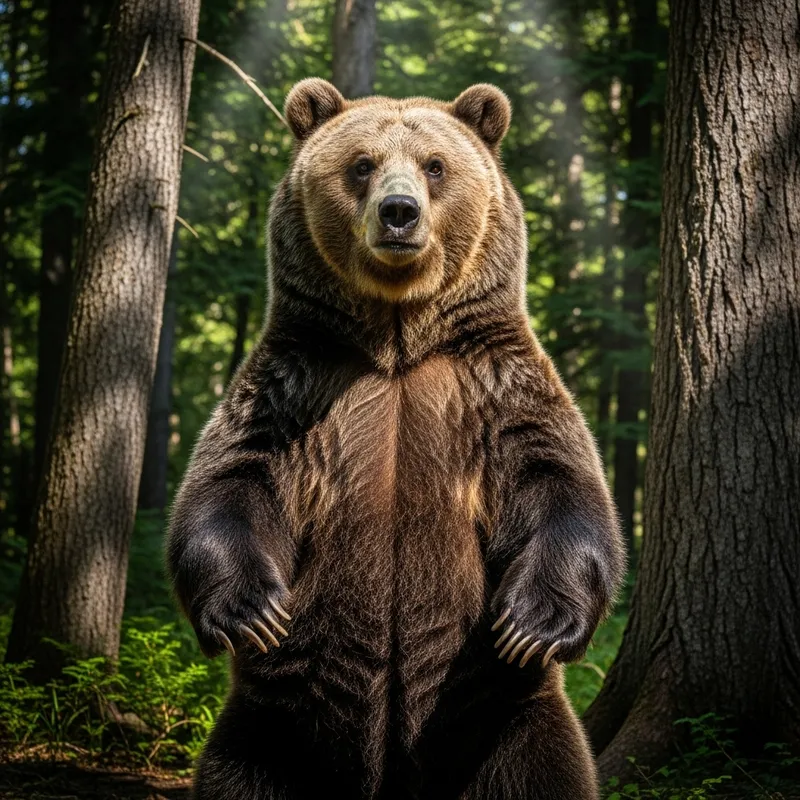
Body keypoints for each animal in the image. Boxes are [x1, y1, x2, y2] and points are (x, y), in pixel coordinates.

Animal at [168, 78, 625, 800]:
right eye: (362, 164)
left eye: (435, 165)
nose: (399, 212)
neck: (396, 341)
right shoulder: (298, 382)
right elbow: (231, 480)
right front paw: (252, 611)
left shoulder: (495, 385)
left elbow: (558, 484)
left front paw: (534, 622)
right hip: (270, 733)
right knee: (240, 774)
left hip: (505, 722)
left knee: (541, 770)